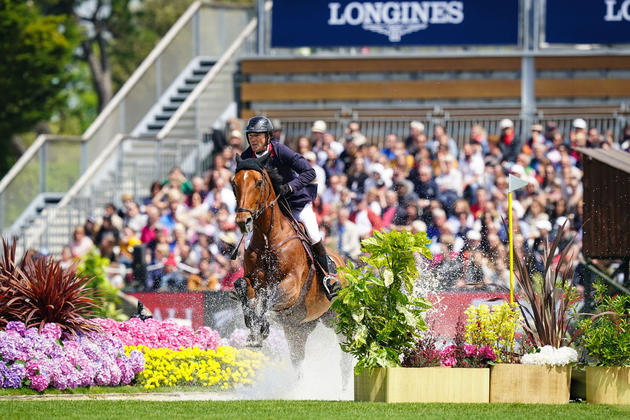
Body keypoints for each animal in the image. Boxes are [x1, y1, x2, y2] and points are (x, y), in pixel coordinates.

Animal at [232, 153, 354, 384]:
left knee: (345, 357)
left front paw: (260, 329)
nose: (244, 221)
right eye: (234, 184)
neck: (269, 239)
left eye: (259, 182)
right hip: (298, 327)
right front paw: (253, 329)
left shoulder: (292, 286)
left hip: (337, 319)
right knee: (298, 360)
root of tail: (345, 265)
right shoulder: (254, 280)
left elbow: (269, 298)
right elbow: (243, 286)